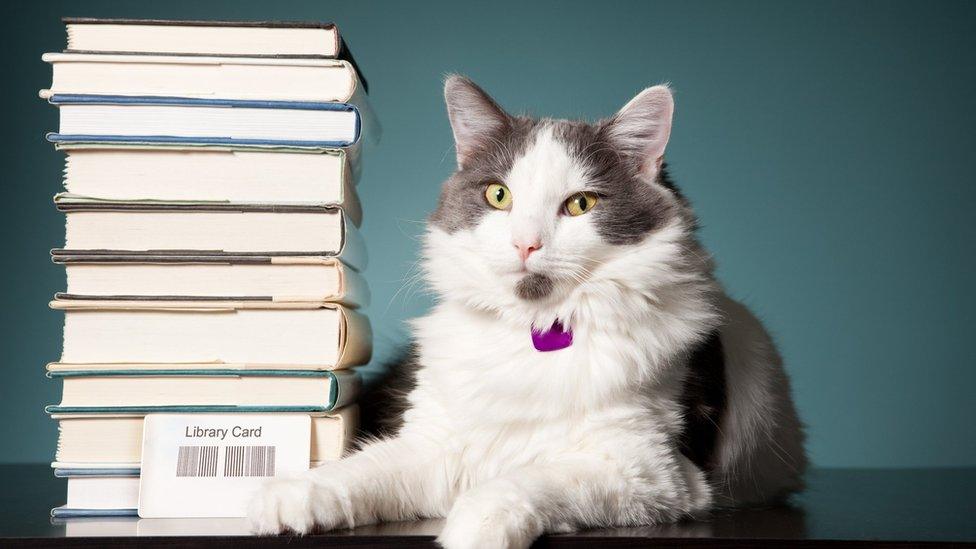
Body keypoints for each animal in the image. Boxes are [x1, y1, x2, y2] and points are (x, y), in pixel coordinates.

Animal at [248, 77, 804, 548]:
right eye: (499, 195)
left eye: (580, 205)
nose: (526, 244)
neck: (535, 331)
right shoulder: (435, 444)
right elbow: (364, 470)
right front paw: (291, 495)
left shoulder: (648, 470)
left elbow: (529, 480)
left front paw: (473, 526)